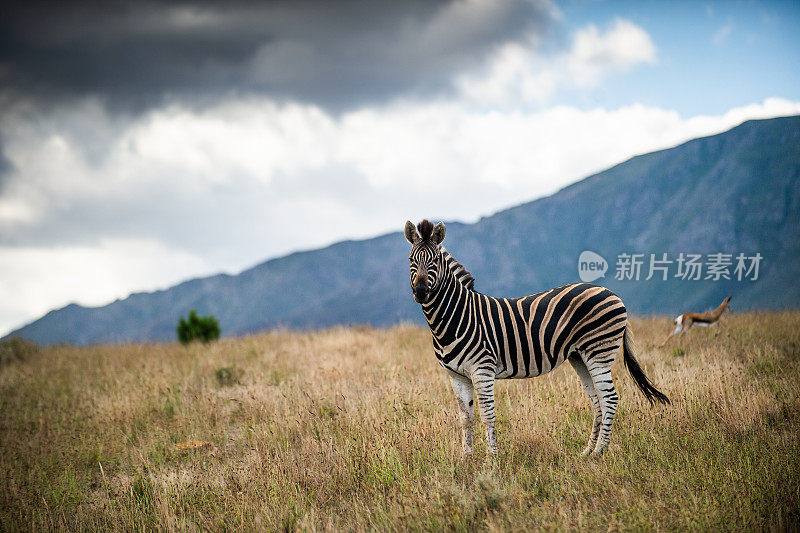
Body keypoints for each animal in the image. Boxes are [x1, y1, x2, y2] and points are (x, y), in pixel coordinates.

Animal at [404, 218, 672, 456]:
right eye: (411, 260)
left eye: (435, 260)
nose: (420, 291)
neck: (455, 317)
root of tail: (613, 293)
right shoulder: (457, 376)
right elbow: (466, 418)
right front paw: (467, 460)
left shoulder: (482, 370)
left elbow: (487, 415)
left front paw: (491, 461)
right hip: (580, 356)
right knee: (597, 401)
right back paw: (587, 452)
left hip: (599, 352)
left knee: (610, 399)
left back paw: (600, 452)